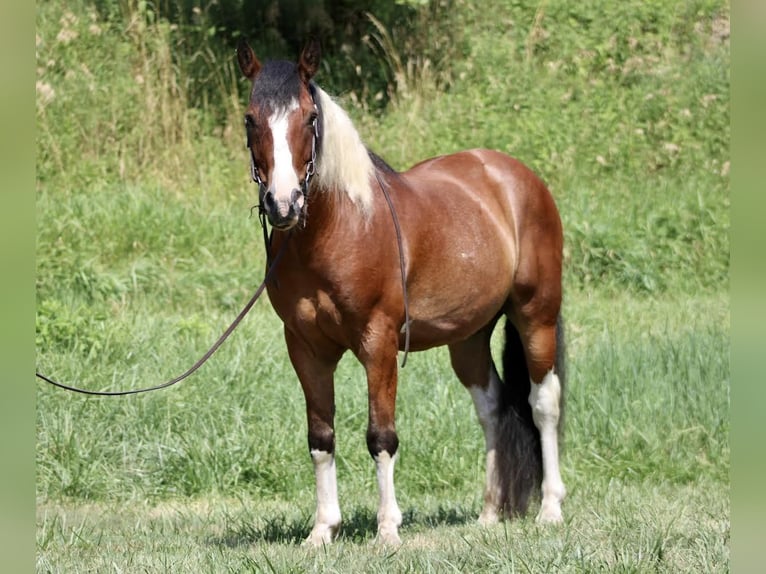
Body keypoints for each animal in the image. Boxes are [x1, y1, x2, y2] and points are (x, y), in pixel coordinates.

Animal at [237, 39, 568, 544]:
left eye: (309, 117)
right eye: (250, 119)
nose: (283, 203)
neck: (342, 227)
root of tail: (515, 176)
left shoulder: (379, 342)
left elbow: (381, 436)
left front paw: (388, 530)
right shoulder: (306, 347)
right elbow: (321, 438)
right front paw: (322, 530)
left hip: (536, 316)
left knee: (543, 403)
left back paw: (551, 508)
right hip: (469, 337)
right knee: (491, 408)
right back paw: (489, 513)